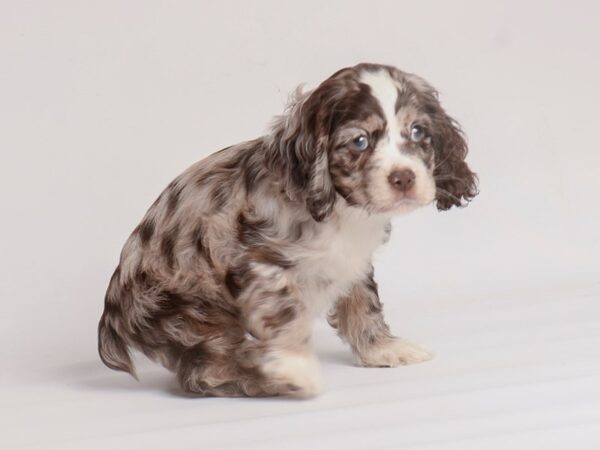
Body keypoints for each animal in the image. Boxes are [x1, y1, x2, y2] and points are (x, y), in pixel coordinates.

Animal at [98, 62, 478, 398]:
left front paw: (382, 349)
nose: (404, 178)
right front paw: (294, 366)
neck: (340, 210)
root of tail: (113, 312)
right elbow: (287, 317)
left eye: (418, 132)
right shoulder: (260, 262)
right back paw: (271, 381)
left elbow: (363, 304)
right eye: (359, 142)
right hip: (192, 314)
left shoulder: (353, 261)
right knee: (206, 373)